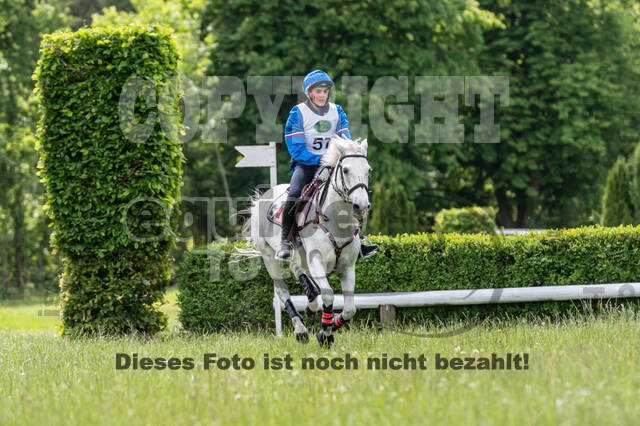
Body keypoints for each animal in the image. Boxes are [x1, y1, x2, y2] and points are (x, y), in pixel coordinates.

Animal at [244, 136, 371, 347]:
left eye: (368, 170)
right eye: (345, 170)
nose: (361, 205)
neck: (335, 220)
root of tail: (262, 197)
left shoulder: (347, 268)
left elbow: (349, 309)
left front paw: (329, 327)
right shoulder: (316, 261)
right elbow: (328, 295)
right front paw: (325, 334)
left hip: (299, 256)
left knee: (296, 269)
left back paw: (311, 302)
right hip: (269, 257)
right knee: (282, 291)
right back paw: (301, 329)